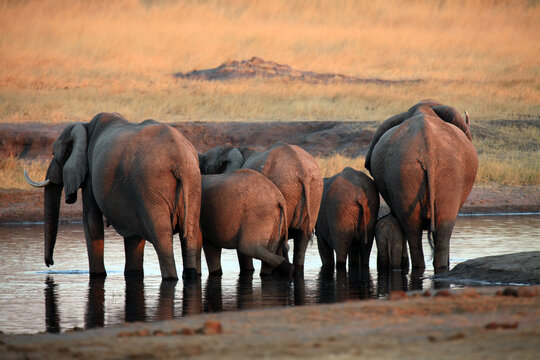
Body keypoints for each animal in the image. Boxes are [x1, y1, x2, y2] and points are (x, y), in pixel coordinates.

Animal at [24, 112, 201, 282]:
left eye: (53, 153)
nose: (50, 264)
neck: (84, 125)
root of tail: (179, 159)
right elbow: (133, 236)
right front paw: (132, 274)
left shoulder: (91, 174)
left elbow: (91, 222)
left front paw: (98, 275)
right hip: (191, 182)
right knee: (192, 235)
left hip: (151, 185)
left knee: (162, 238)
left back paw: (171, 278)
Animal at [199, 141, 322, 272]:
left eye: (204, 161)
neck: (233, 148)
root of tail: (302, 172)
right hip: (315, 192)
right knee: (302, 240)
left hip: (285, 187)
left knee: (281, 239)